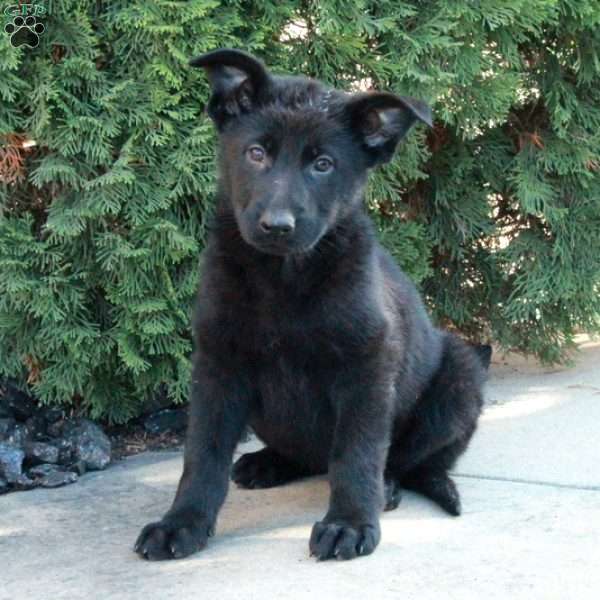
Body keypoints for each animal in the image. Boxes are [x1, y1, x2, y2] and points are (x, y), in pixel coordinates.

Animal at [135, 49, 488, 560]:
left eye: (323, 164)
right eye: (256, 153)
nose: (277, 225)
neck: (284, 278)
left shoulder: (366, 367)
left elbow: (358, 453)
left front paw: (349, 523)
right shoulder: (218, 365)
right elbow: (202, 454)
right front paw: (181, 523)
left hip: (461, 372)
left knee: (408, 461)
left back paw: (388, 486)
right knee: (307, 455)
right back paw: (268, 463)